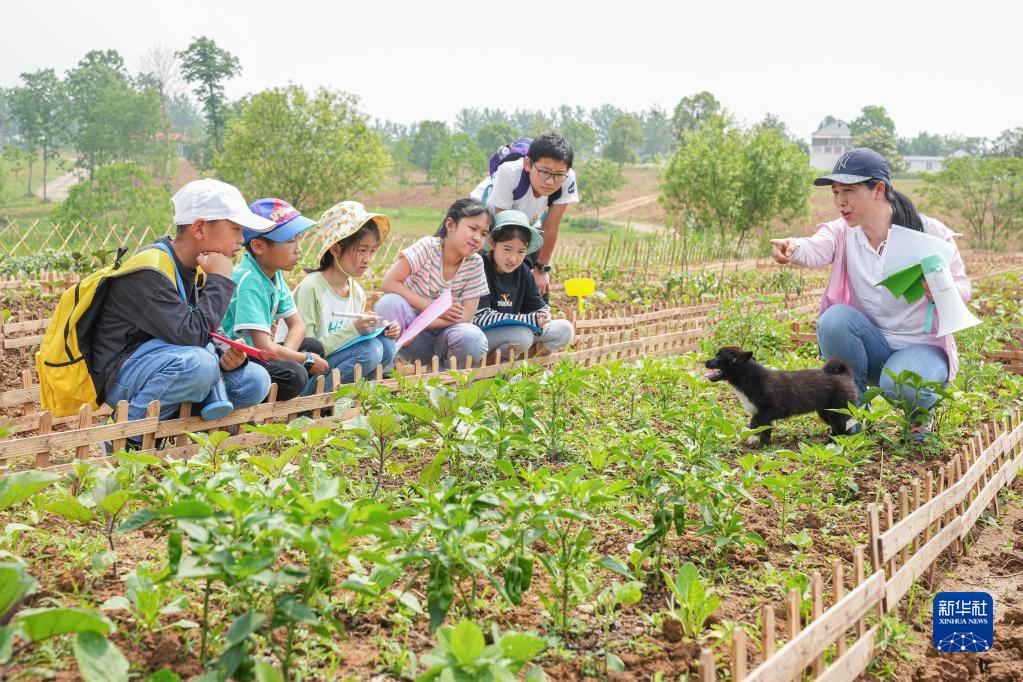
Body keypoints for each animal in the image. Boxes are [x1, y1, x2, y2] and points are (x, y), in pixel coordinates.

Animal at [703, 347, 855, 447]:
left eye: (718, 357)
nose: (705, 362)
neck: (750, 378)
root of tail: (844, 375)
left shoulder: (769, 410)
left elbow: (754, 423)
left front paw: (752, 437)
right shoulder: (765, 415)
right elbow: (765, 430)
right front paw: (763, 446)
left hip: (838, 411)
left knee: (844, 429)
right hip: (825, 412)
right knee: (836, 428)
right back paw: (829, 442)